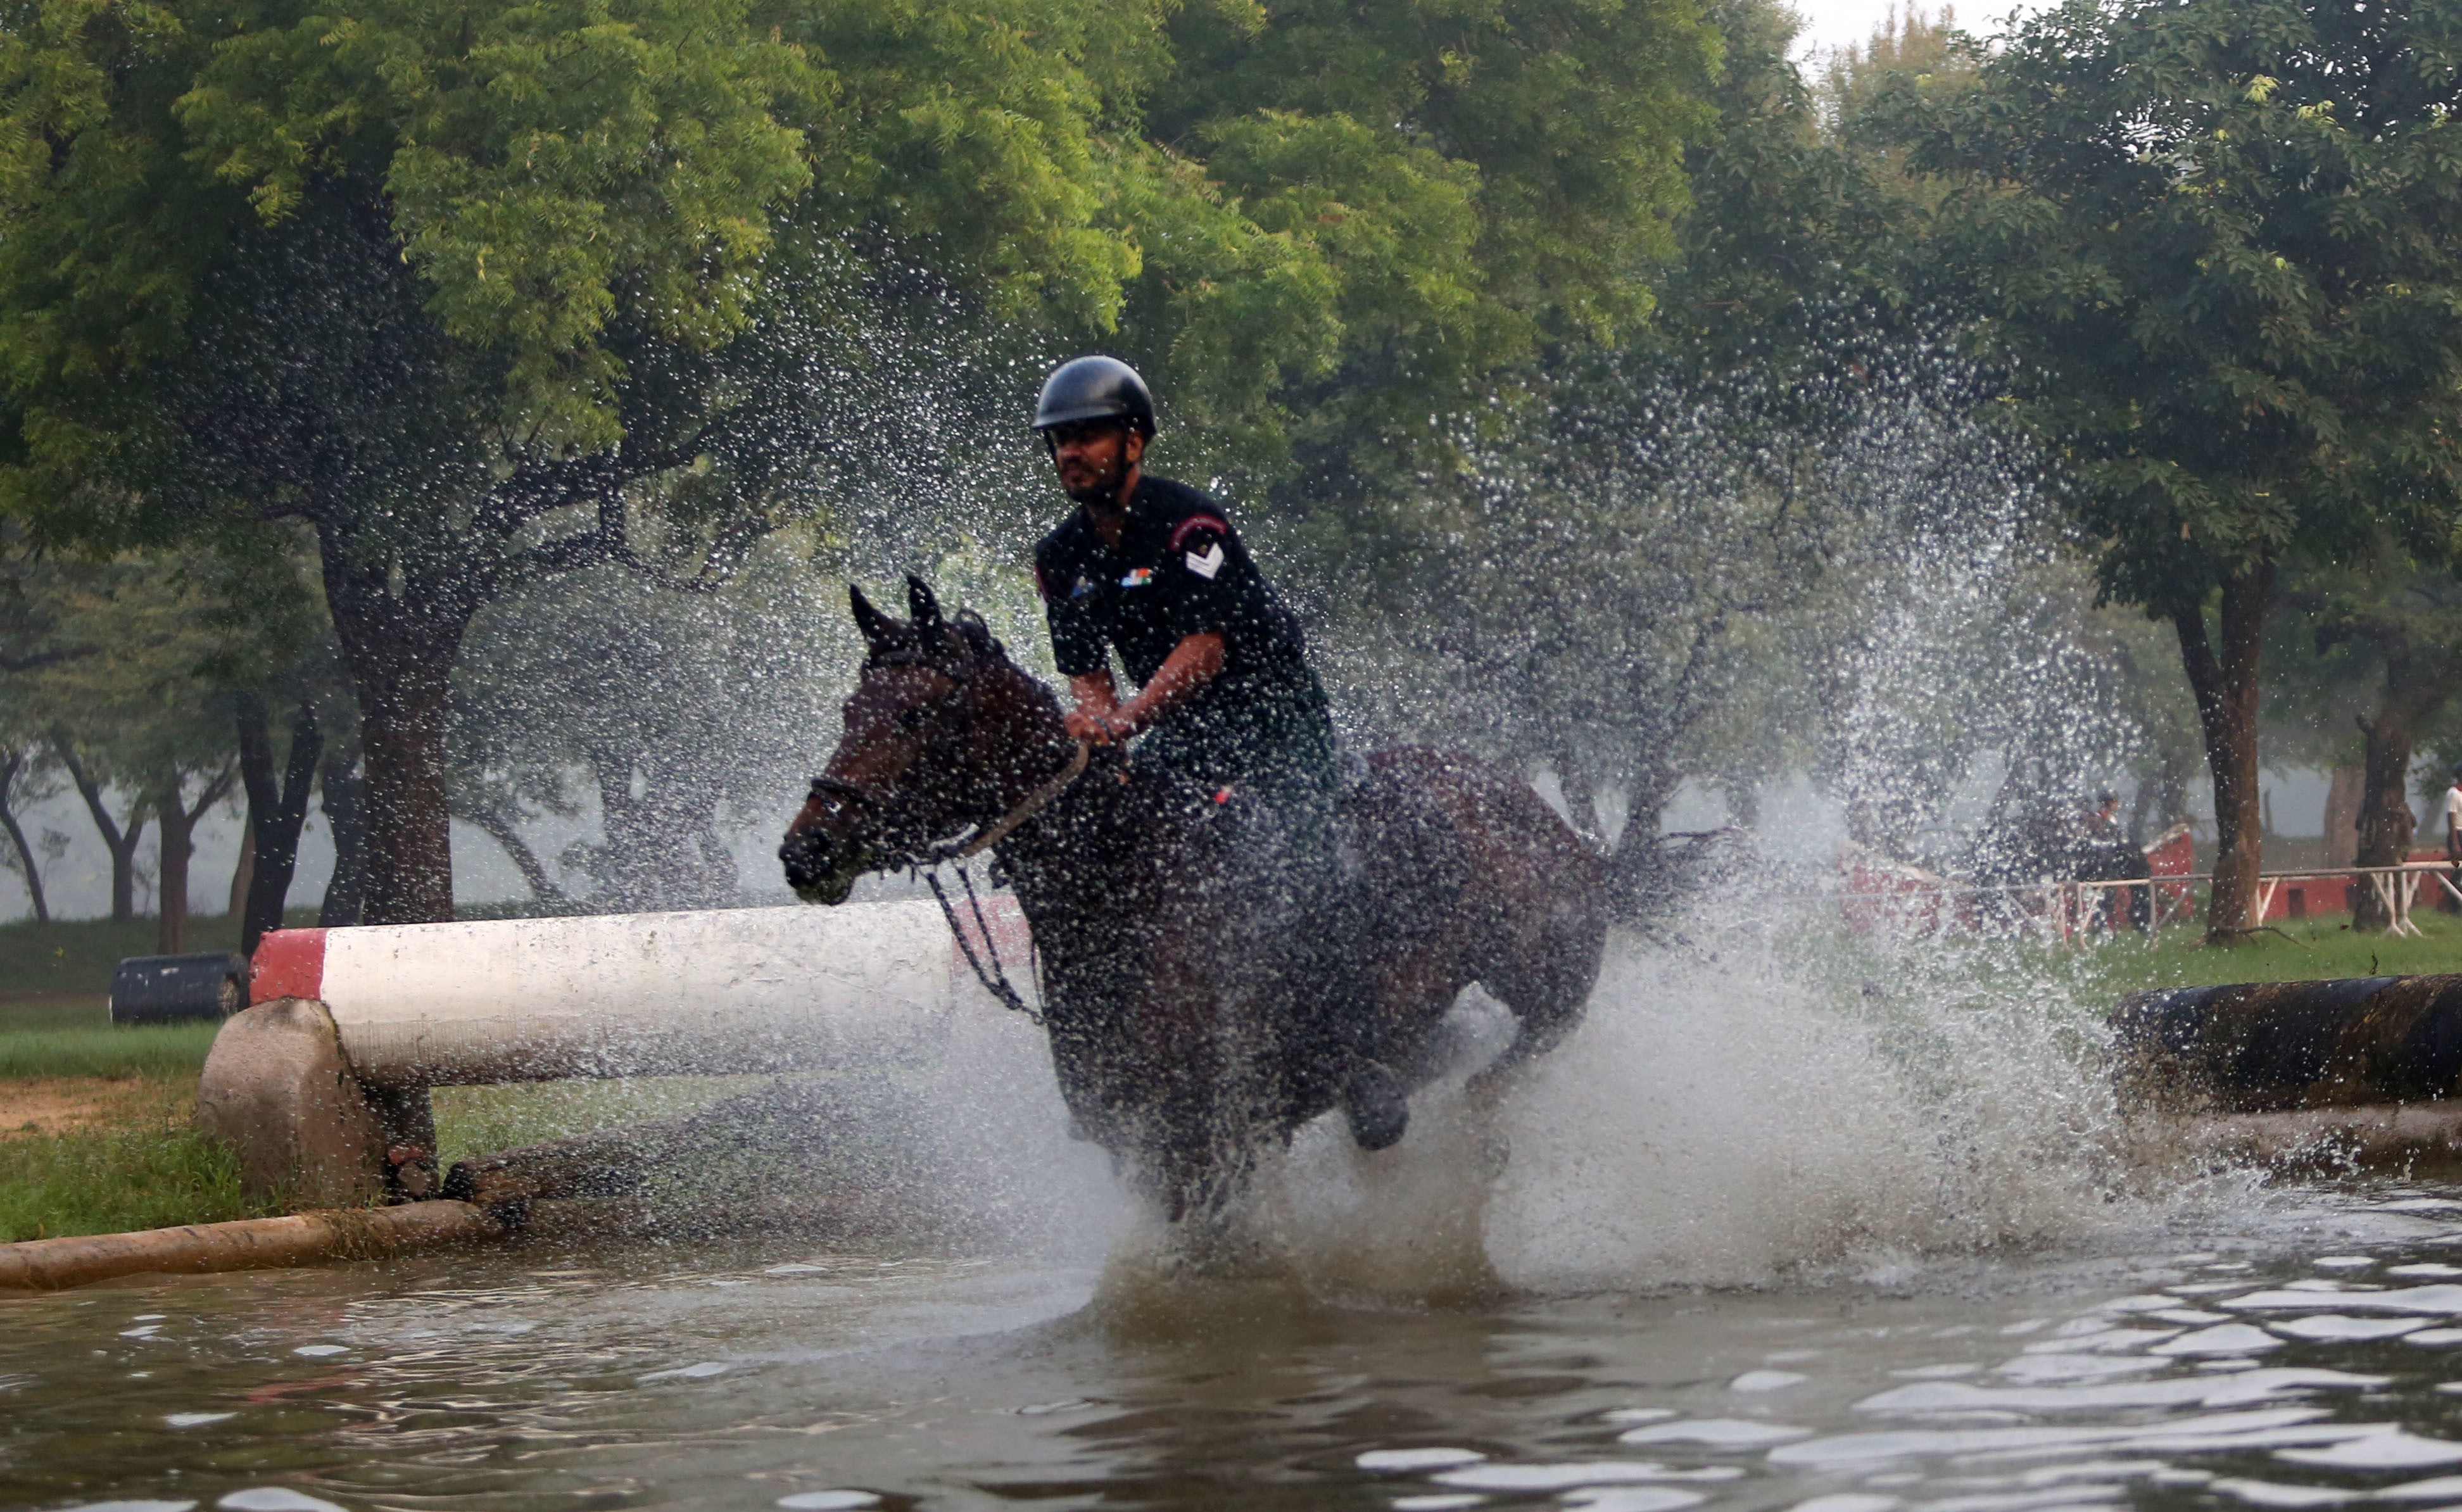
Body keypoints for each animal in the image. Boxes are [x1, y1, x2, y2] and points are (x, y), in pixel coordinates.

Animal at [778, 574, 1605, 1226]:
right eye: (852, 708)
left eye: (916, 714)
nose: (805, 850)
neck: (1131, 888)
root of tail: (1524, 800)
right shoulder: (1143, 1144)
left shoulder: (1212, 1134)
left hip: (1550, 980)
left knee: (1507, 1063)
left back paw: (1474, 1136)